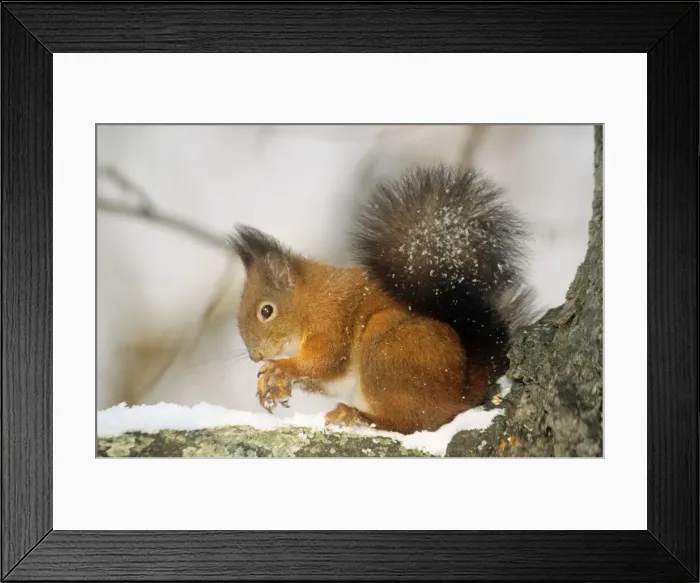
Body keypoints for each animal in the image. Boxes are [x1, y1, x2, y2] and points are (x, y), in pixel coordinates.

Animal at [229, 163, 536, 435]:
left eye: (266, 311)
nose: (255, 356)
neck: (307, 302)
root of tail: (460, 394)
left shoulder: (330, 321)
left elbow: (326, 360)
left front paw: (279, 368)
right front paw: (274, 386)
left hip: (387, 350)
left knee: (409, 422)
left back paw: (356, 416)